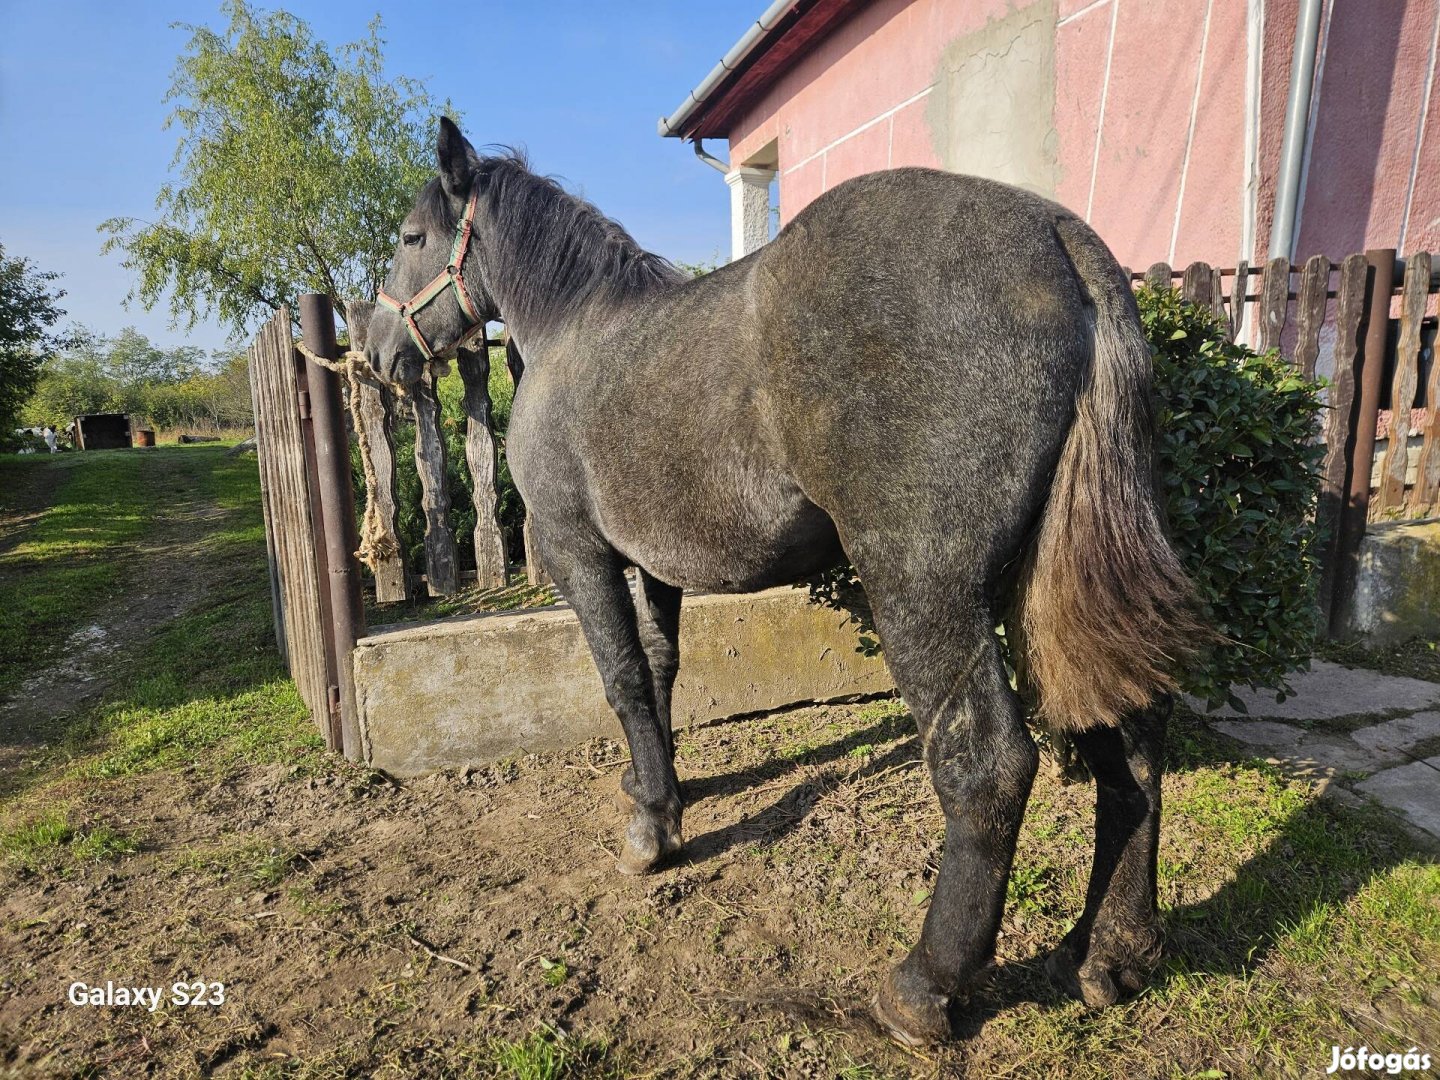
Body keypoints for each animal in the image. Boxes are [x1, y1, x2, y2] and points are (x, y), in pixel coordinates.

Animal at [365, 120, 1198, 1048]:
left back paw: (923, 986)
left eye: (411, 237)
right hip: (1055, 587)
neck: (574, 331)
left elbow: (623, 680)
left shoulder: (581, 555)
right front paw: (659, 789)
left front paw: (651, 833)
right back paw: (1111, 951)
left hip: (924, 590)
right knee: (1129, 740)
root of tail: (1061, 240)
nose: (376, 353)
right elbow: (661, 673)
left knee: (988, 762)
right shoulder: (658, 569)